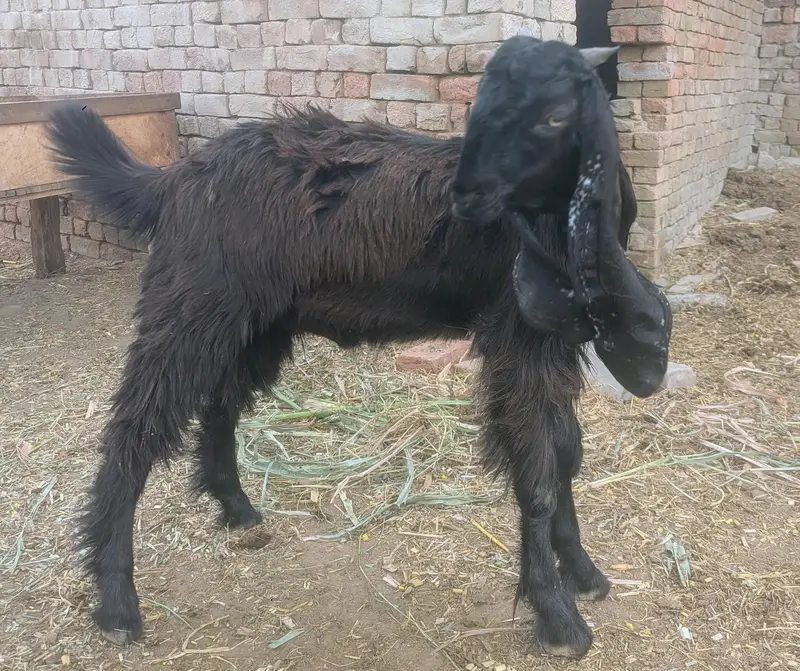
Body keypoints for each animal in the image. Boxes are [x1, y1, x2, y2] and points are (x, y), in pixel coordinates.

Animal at [46, 36, 670, 659]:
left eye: (557, 116)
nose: (471, 201)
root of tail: (176, 179)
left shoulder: (552, 342)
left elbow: (565, 452)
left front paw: (583, 573)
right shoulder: (519, 338)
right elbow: (537, 473)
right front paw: (558, 618)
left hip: (254, 325)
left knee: (219, 406)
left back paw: (238, 509)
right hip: (189, 313)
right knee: (134, 431)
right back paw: (117, 600)